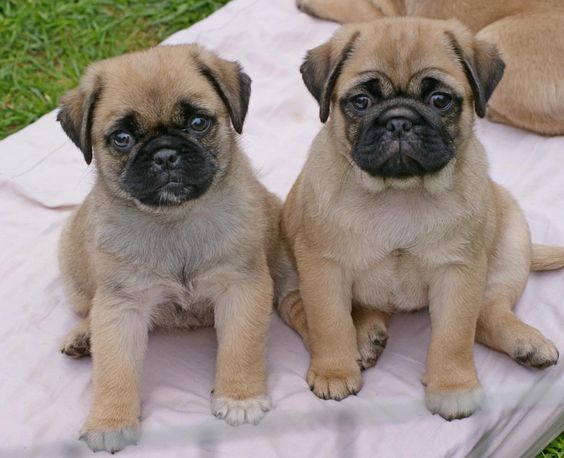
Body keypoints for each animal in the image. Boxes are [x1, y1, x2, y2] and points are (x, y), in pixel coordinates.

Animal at [57, 44, 286, 453]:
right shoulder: (122, 306)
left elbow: (240, 346)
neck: (174, 220)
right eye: (122, 138)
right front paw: (109, 422)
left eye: (198, 123)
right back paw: (83, 335)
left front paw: (239, 397)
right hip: (75, 269)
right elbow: (113, 370)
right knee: (89, 310)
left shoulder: (241, 287)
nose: (164, 155)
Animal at [277, 18, 564, 421]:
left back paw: (525, 342)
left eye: (439, 100)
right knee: (340, 308)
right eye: (361, 102)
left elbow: (454, 335)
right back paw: (365, 337)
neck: (400, 193)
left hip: (511, 243)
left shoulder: (458, 273)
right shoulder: (323, 269)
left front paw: (453, 387)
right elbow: (330, 324)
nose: (399, 121)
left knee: (488, 313)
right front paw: (335, 372)